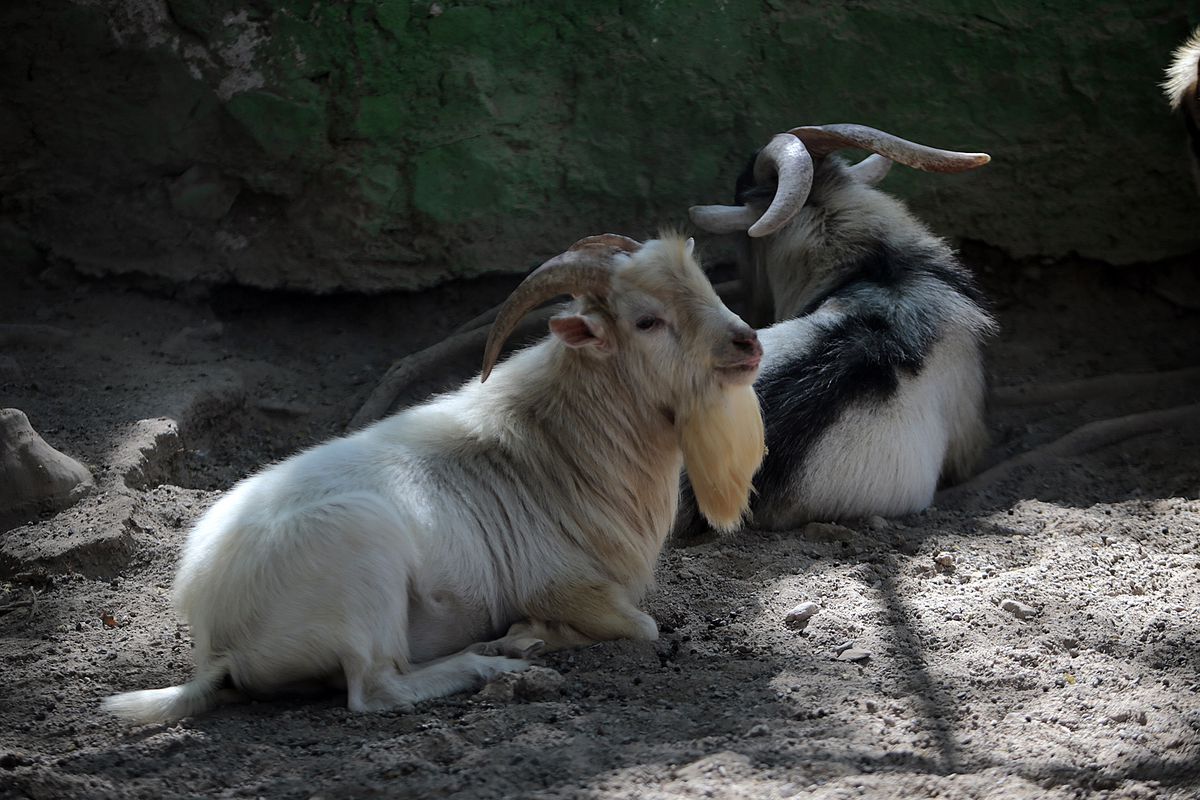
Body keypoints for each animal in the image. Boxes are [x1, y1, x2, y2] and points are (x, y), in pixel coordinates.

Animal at [101, 233, 765, 723]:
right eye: (648, 321)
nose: (748, 343)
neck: (552, 445)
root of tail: (216, 634)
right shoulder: (566, 586)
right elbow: (643, 628)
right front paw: (531, 633)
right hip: (363, 568)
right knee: (375, 690)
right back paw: (499, 662)